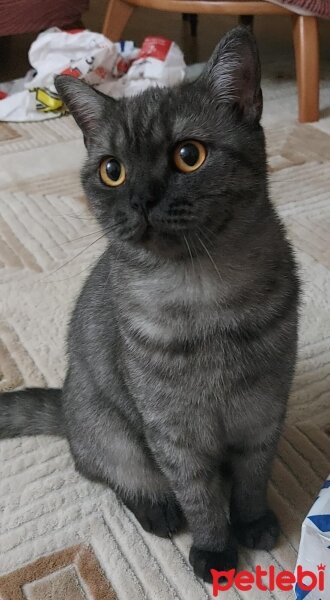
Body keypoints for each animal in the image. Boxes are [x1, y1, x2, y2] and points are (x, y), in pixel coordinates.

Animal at [0, 27, 300, 580]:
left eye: (189, 155)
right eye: (112, 170)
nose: (141, 198)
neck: (204, 294)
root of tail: (66, 405)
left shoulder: (262, 411)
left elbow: (251, 480)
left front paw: (254, 525)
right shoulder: (175, 432)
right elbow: (201, 497)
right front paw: (215, 552)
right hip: (114, 434)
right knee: (108, 472)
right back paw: (158, 511)